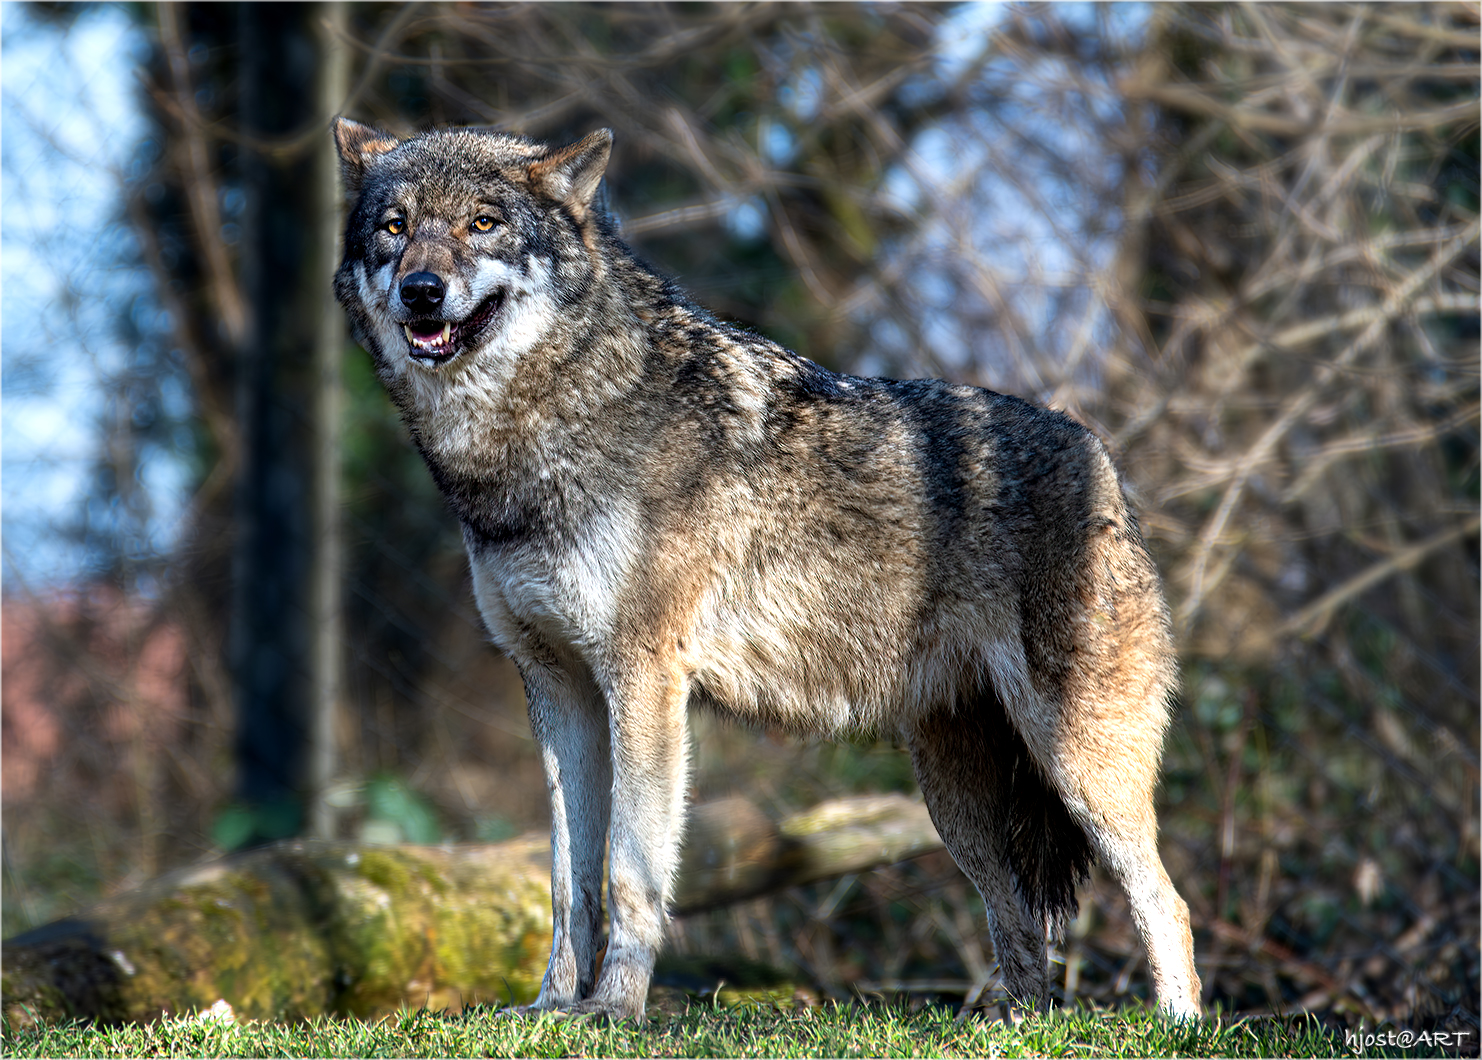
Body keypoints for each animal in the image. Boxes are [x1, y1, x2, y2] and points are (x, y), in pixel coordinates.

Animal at [333, 120, 1203, 1025]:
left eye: (482, 223)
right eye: (395, 227)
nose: (422, 291)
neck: (534, 442)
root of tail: (1102, 457)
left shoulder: (643, 678)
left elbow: (629, 869)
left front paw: (614, 1011)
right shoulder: (554, 683)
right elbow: (566, 880)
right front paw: (549, 1010)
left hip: (1079, 763)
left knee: (1166, 901)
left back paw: (1173, 1026)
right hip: (956, 799)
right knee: (1020, 918)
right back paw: (1013, 1025)